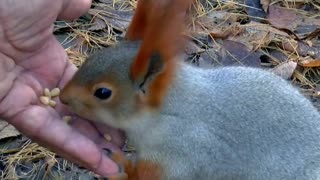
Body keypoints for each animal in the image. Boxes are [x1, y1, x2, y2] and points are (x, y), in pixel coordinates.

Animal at [58, 0, 320, 179]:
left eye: (103, 93)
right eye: (92, 58)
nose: (62, 98)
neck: (169, 109)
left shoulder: (181, 150)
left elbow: (147, 176)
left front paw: (121, 164)